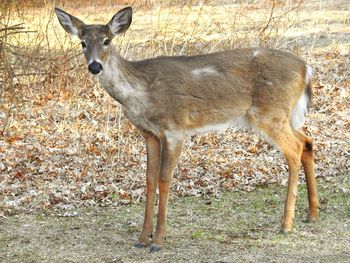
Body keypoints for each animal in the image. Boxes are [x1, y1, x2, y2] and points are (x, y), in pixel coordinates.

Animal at [54, 6, 320, 254]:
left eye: (107, 41)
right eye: (83, 43)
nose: (95, 66)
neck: (141, 94)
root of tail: (306, 68)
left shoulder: (174, 129)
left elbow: (164, 179)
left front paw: (158, 240)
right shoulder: (149, 134)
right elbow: (149, 179)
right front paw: (142, 238)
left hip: (269, 113)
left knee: (295, 149)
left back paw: (286, 224)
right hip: (282, 116)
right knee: (307, 141)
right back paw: (312, 213)